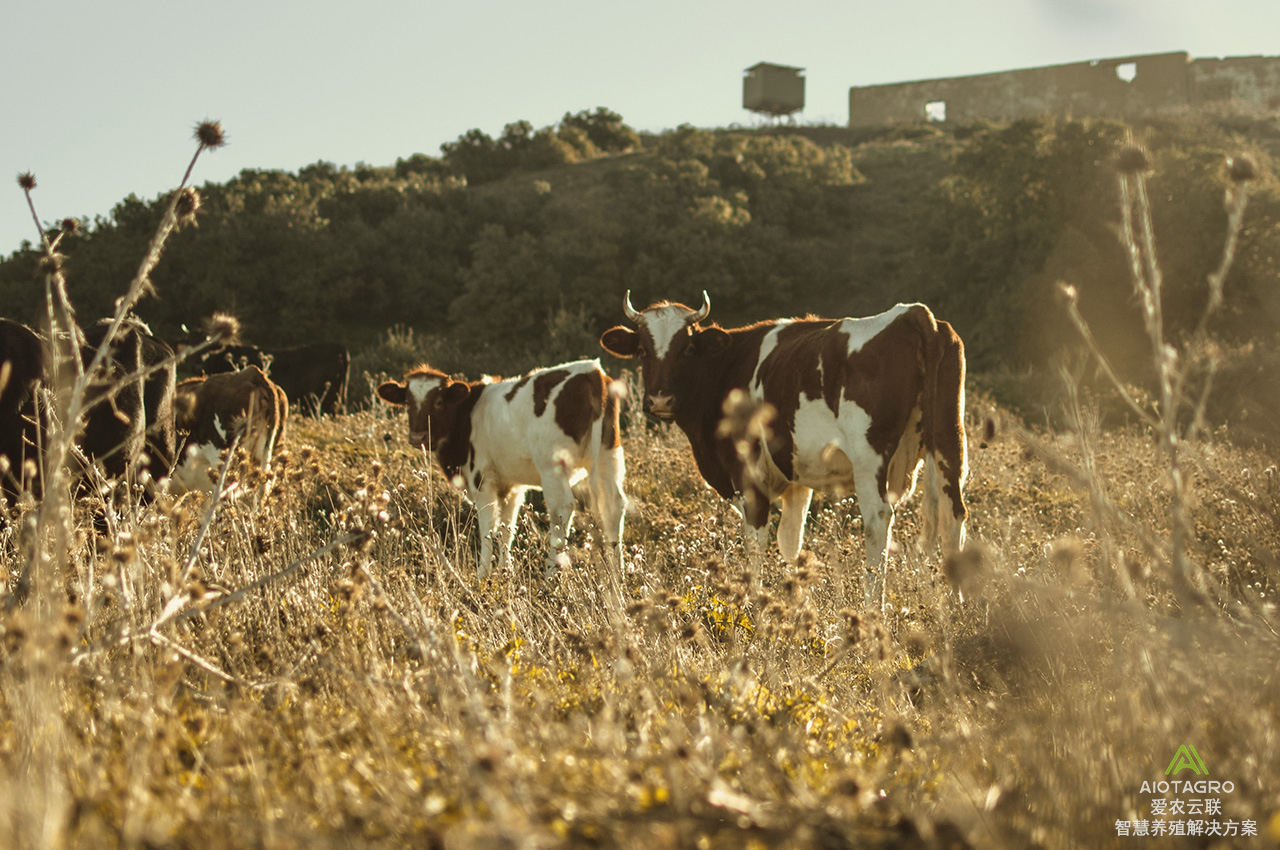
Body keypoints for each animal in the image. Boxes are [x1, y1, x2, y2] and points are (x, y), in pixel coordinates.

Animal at [373, 355, 624, 581]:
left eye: (439, 402)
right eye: (407, 402)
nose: (417, 436)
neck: (467, 416)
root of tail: (591, 371)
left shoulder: (482, 481)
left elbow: (488, 528)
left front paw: (482, 575)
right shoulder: (511, 486)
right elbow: (506, 528)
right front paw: (506, 571)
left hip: (552, 465)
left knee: (561, 510)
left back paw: (552, 574)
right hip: (608, 454)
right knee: (614, 505)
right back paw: (618, 574)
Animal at [601, 291, 967, 604]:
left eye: (687, 349)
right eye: (643, 350)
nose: (660, 400)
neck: (726, 367)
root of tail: (912, 312)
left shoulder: (748, 473)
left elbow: (756, 540)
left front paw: (754, 603)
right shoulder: (796, 478)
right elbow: (791, 541)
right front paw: (794, 603)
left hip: (869, 455)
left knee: (878, 518)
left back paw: (872, 609)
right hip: (950, 439)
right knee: (954, 515)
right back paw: (956, 606)